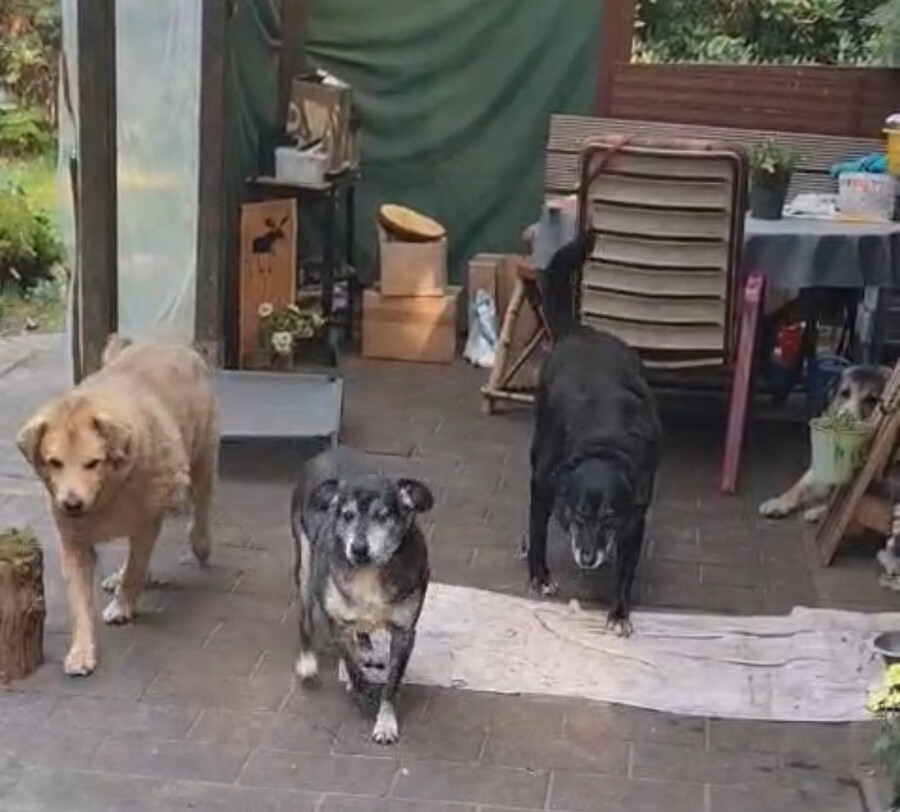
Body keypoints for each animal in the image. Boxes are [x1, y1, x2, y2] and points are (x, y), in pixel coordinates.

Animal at [16, 334, 218, 676]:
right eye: (54, 462)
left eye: (92, 462)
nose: (71, 504)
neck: (106, 495)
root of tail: (172, 344)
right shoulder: (73, 541)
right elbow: (79, 603)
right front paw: (81, 651)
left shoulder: (147, 520)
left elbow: (136, 567)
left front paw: (124, 605)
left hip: (201, 458)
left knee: (202, 502)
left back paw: (200, 543)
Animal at [291, 447, 433, 744]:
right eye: (346, 515)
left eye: (383, 516)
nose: (358, 548)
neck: (369, 572)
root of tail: (331, 450)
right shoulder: (337, 623)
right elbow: (353, 667)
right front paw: (361, 692)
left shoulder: (404, 632)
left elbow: (392, 682)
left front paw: (386, 722)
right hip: (305, 568)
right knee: (306, 617)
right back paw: (308, 661)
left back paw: (365, 647)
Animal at [523, 326, 662, 637]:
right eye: (579, 514)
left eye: (609, 518)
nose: (587, 559)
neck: (606, 442)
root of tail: (583, 332)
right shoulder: (543, 484)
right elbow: (538, 531)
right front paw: (540, 576)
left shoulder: (635, 517)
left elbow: (626, 570)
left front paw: (620, 613)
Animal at [759, 364, 889, 523]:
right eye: (844, 393)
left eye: (872, 399)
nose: (845, 420)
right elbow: (801, 485)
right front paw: (780, 502)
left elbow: (843, 499)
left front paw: (823, 511)